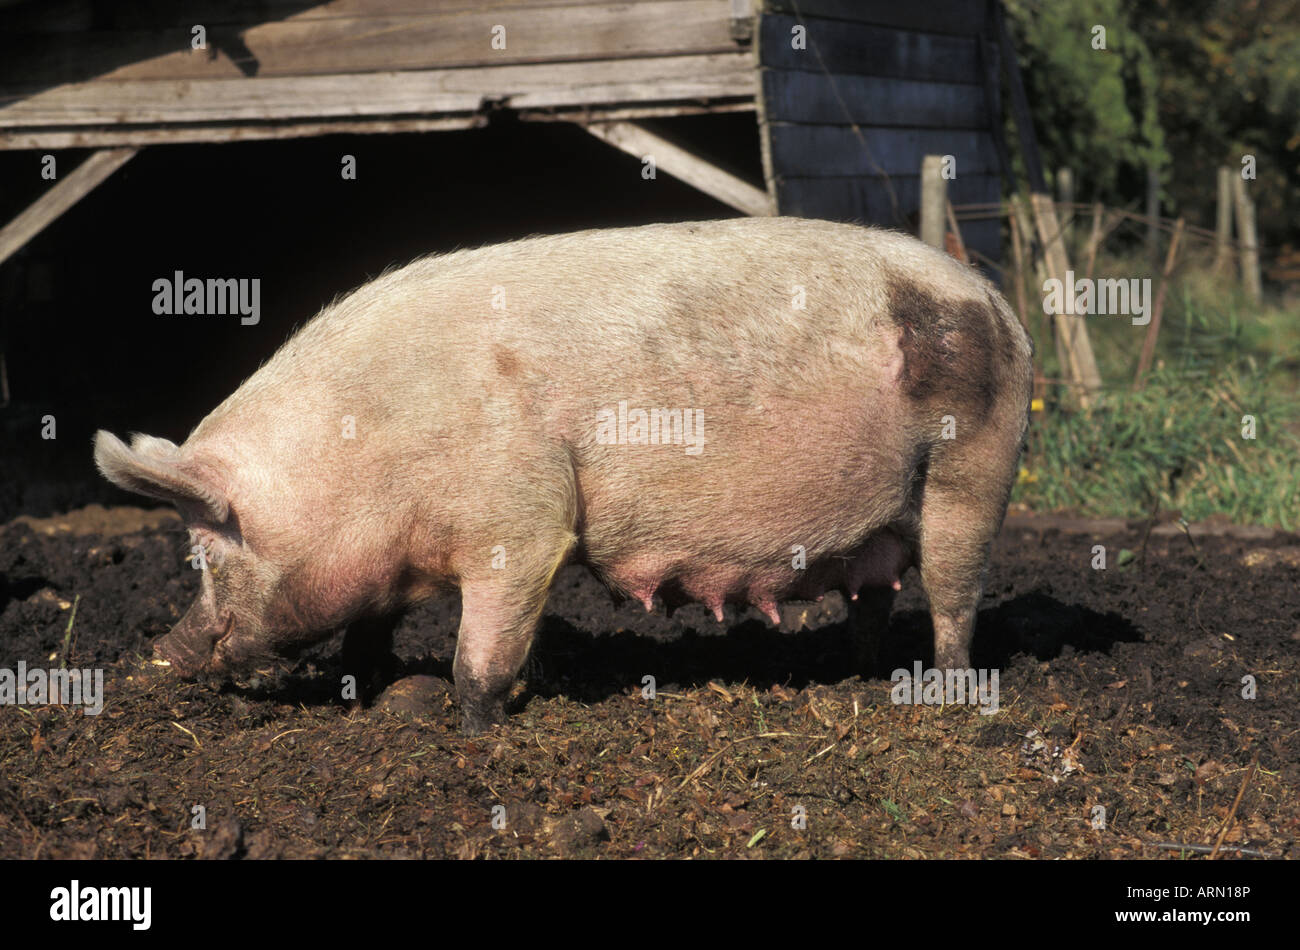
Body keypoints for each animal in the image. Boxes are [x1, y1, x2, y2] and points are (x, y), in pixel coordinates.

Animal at [91, 217, 1029, 738]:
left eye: (206, 554)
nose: (163, 653)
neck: (370, 453)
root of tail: (1002, 307)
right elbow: (377, 630)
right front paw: (389, 693)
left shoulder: (523, 521)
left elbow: (479, 653)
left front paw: (475, 734)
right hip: (891, 516)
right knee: (875, 595)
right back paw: (861, 673)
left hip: (971, 472)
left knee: (954, 594)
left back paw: (942, 698)